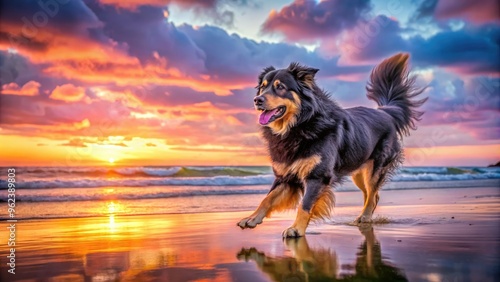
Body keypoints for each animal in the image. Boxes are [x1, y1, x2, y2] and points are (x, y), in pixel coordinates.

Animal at [237, 53, 426, 238]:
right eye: (262, 87)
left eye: (280, 87)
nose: (257, 100)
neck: (301, 123)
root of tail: (386, 112)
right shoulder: (286, 177)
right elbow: (267, 198)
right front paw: (252, 218)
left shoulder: (317, 176)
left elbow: (305, 204)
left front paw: (296, 229)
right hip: (359, 171)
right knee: (372, 196)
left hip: (375, 169)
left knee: (372, 194)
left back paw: (364, 217)